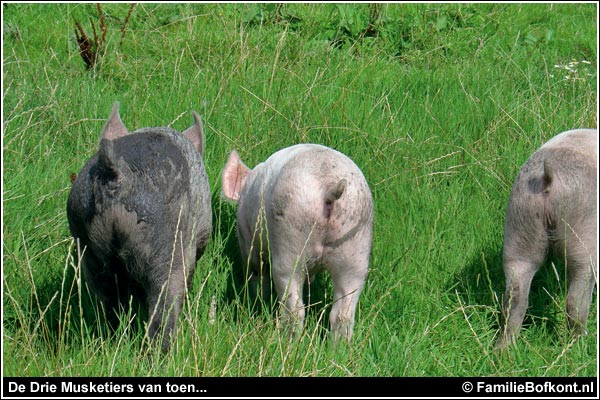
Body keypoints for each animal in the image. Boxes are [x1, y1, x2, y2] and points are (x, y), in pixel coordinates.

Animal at [65, 103, 211, 350]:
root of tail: (118, 175)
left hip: (86, 242)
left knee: (107, 301)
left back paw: (112, 339)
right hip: (164, 242)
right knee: (163, 307)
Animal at [221, 145, 370, 342]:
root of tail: (328, 188)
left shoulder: (247, 235)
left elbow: (256, 271)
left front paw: (257, 297)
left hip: (290, 239)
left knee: (294, 307)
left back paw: (287, 342)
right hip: (356, 248)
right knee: (343, 312)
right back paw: (337, 348)